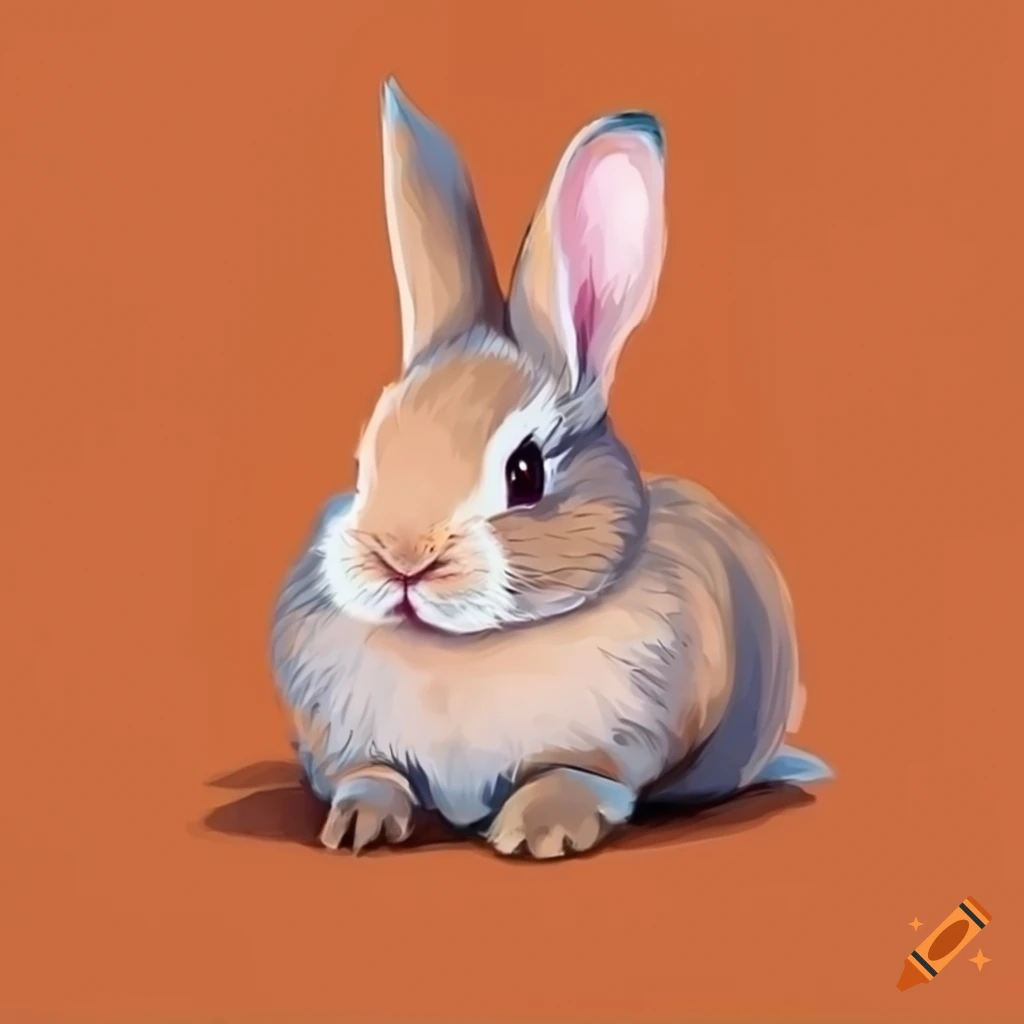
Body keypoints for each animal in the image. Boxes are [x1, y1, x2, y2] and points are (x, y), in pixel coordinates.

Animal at [270, 77, 832, 860]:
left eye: (526, 472)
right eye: (363, 463)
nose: (403, 560)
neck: (462, 650)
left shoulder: (610, 750)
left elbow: (574, 777)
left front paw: (542, 829)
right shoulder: (354, 746)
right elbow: (372, 774)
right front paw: (357, 825)